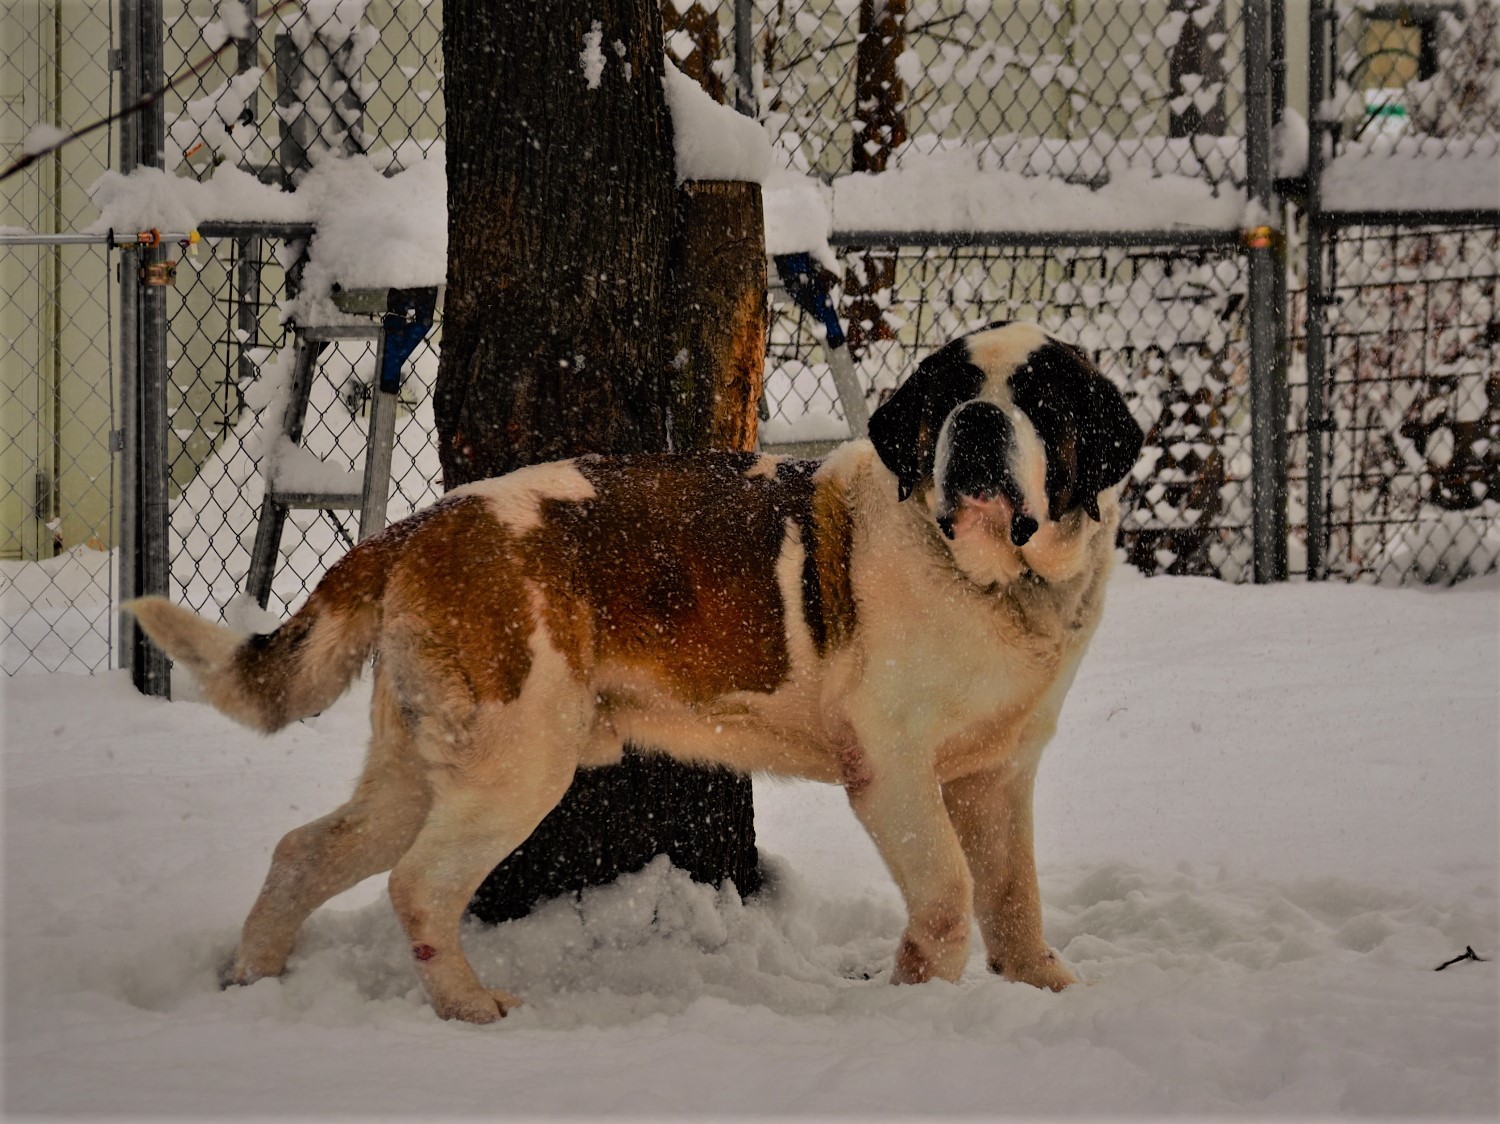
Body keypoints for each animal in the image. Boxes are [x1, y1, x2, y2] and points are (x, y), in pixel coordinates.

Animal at [129, 319, 1140, 1020]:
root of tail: (424, 523)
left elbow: (1013, 890)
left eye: (1043, 405)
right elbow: (950, 891)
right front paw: (922, 997)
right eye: (952, 396)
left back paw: (252, 979)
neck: (995, 580)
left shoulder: (998, 773)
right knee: (418, 886)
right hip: (516, 759)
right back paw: (471, 1007)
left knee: (307, 851)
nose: (979, 420)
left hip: (420, 764)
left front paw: (1043, 984)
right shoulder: (891, 769)